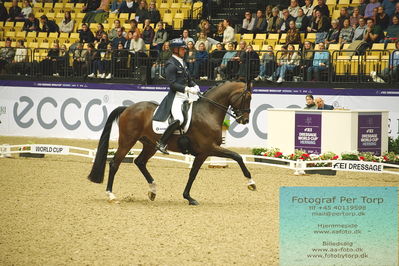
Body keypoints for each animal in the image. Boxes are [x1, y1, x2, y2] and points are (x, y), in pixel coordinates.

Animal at [87, 81, 256, 206]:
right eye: (247, 97)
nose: (245, 120)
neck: (208, 112)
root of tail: (127, 108)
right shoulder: (208, 149)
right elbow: (236, 157)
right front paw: (251, 183)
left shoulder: (205, 152)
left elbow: (194, 173)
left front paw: (188, 197)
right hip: (127, 141)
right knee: (115, 163)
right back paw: (111, 195)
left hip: (150, 145)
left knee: (140, 162)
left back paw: (153, 190)